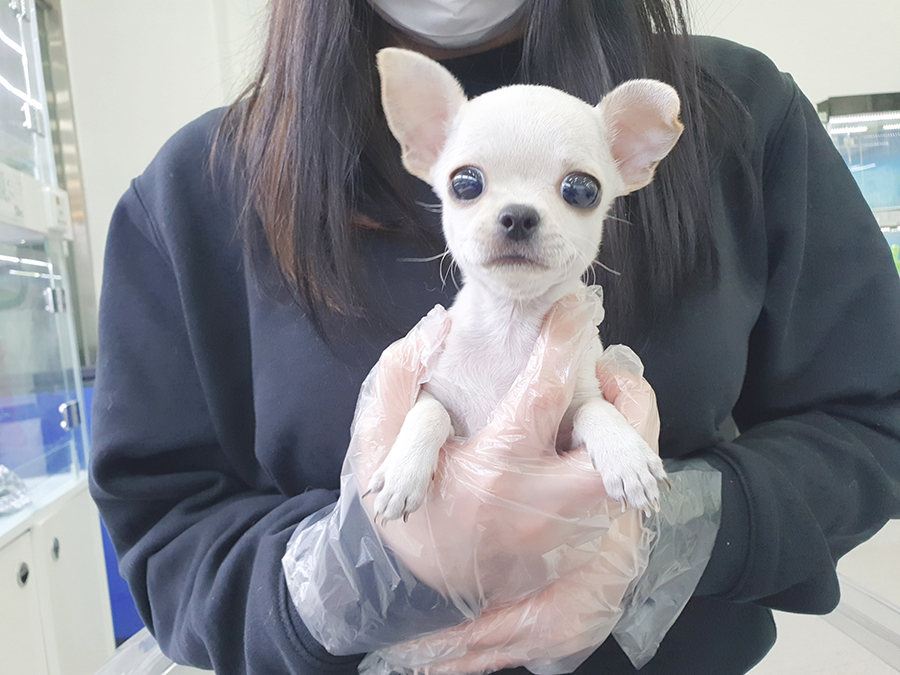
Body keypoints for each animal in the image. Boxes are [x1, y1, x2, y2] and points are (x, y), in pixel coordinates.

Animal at [366, 48, 681, 522]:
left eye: (583, 190)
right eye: (465, 183)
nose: (518, 215)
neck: (510, 323)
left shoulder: (573, 413)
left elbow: (597, 411)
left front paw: (626, 456)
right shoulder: (437, 392)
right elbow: (427, 416)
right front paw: (402, 472)